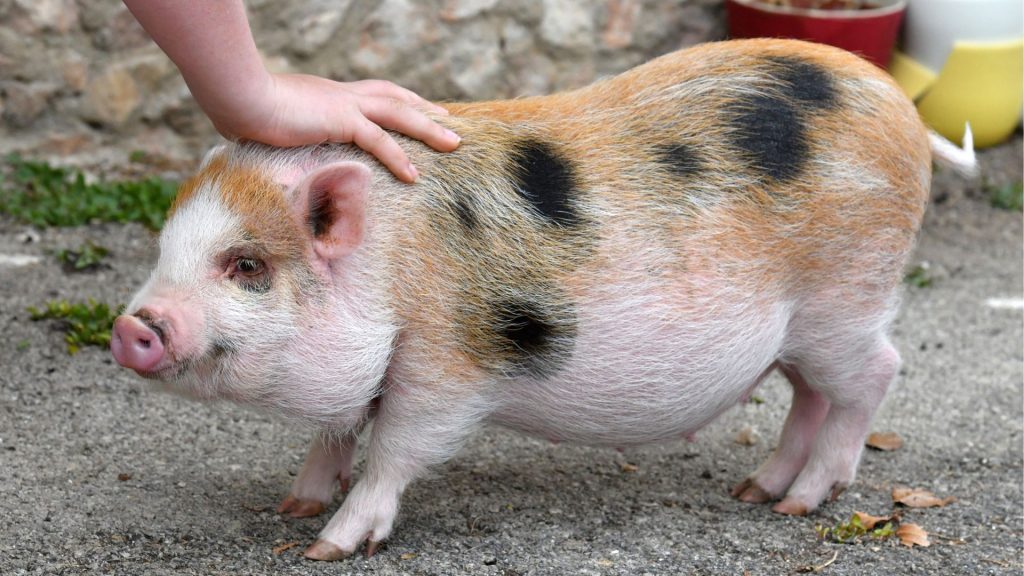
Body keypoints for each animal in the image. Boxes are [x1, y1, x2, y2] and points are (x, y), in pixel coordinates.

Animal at [110, 38, 976, 560]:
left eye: (246, 265)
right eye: (166, 249)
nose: (129, 327)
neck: (389, 262)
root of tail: (898, 103)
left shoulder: (448, 365)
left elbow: (394, 449)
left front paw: (330, 544)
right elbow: (336, 430)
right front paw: (296, 505)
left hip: (848, 292)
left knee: (874, 374)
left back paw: (801, 504)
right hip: (801, 329)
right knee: (808, 394)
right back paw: (759, 491)